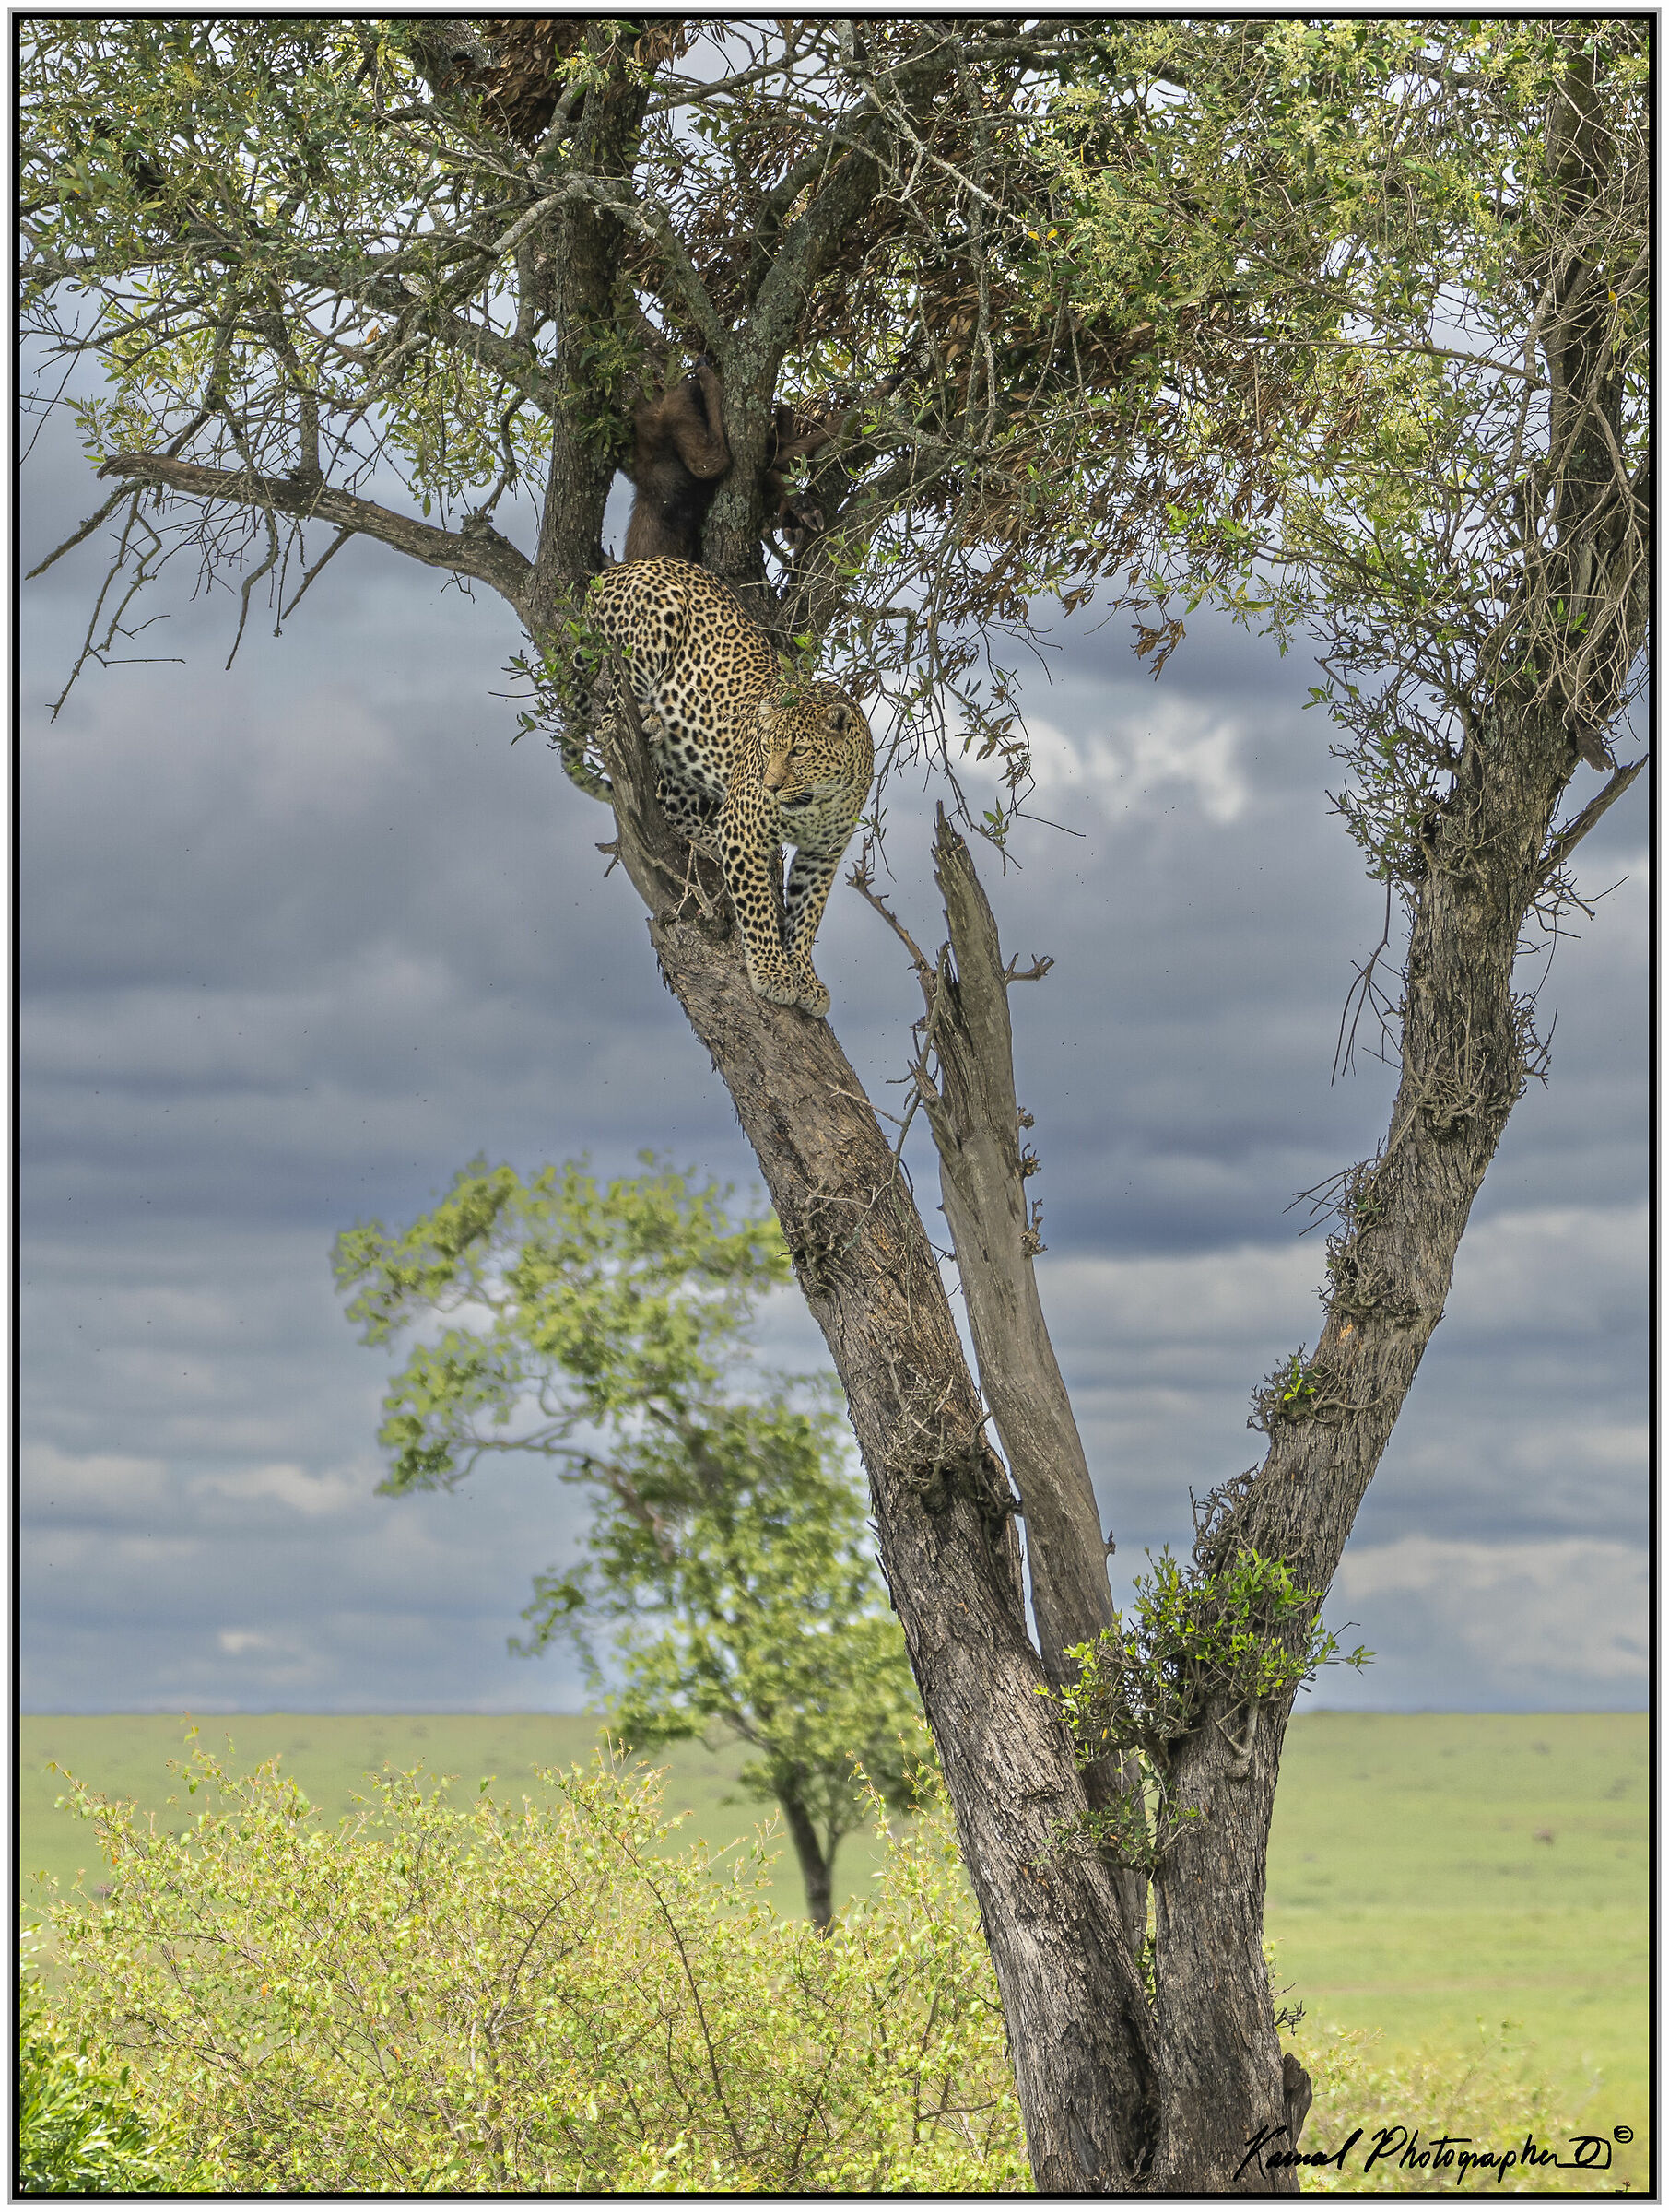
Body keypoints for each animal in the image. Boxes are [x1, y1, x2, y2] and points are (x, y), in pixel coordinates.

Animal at [586, 556, 874, 1018]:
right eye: (766, 747)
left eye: (799, 752)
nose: (769, 786)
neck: (820, 800)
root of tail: (623, 566)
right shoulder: (744, 828)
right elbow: (756, 906)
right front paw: (773, 973)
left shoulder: (823, 853)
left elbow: (808, 912)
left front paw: (804, 976)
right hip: (649, 632)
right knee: (612, 709)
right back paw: (645, 722)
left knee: (671, 804)